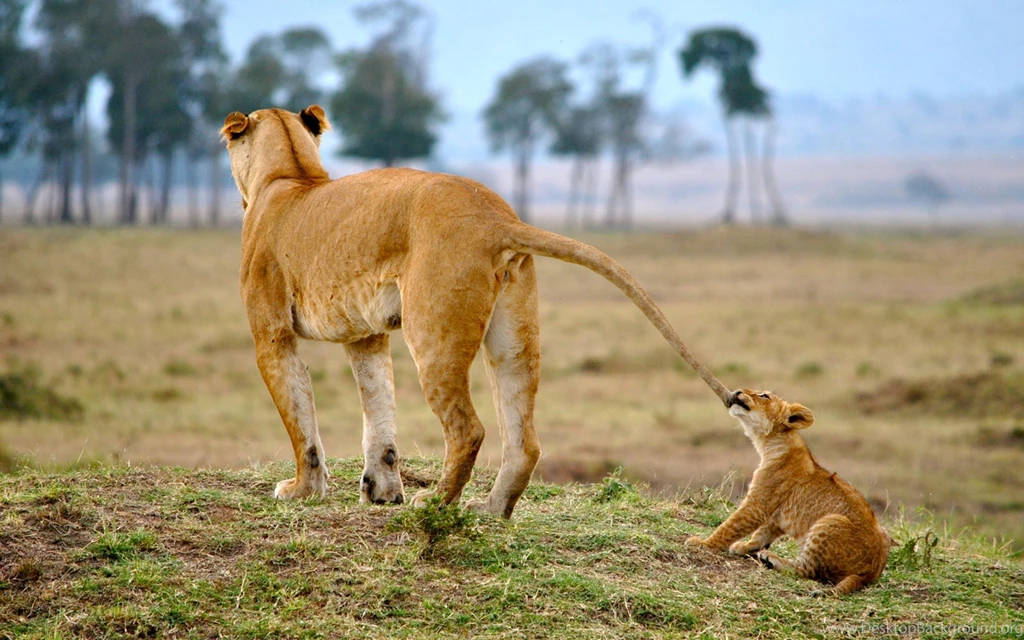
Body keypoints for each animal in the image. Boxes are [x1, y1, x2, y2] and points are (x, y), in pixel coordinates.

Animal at [220, 104, 732, 519]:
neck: (289, 174)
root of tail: (497, 216)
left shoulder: (271, 335)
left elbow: (300, 418)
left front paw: (302, 491)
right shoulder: (366, 336)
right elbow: (378, 411)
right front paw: (382, 491)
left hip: (432, 334)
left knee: (468, 429)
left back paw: (436, 502)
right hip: (513, 339)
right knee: (523, 438)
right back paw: (491, 508)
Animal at [685, 389, 891, 595]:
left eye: (764, 396)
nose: (737, 391)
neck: (771, 445)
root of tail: (869, 573)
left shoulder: (757, 505)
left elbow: (730, 526)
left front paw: (703, 544)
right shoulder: (776, 515)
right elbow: (762, 533)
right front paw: (746, 546)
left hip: (832, 520)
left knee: (807, 570)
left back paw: (772, 559)